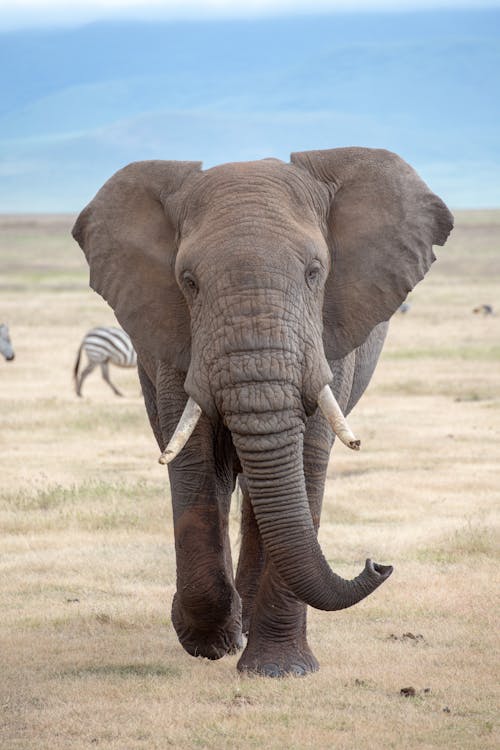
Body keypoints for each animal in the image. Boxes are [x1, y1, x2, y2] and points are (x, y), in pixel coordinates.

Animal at [73, 145, 454, 676]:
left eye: (315, 272)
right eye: (188, 282)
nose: (377, 563)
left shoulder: (328, 334)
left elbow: (307, 459)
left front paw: (278, 671)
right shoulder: (174, 338)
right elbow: (193, 462)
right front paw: (211, 641)